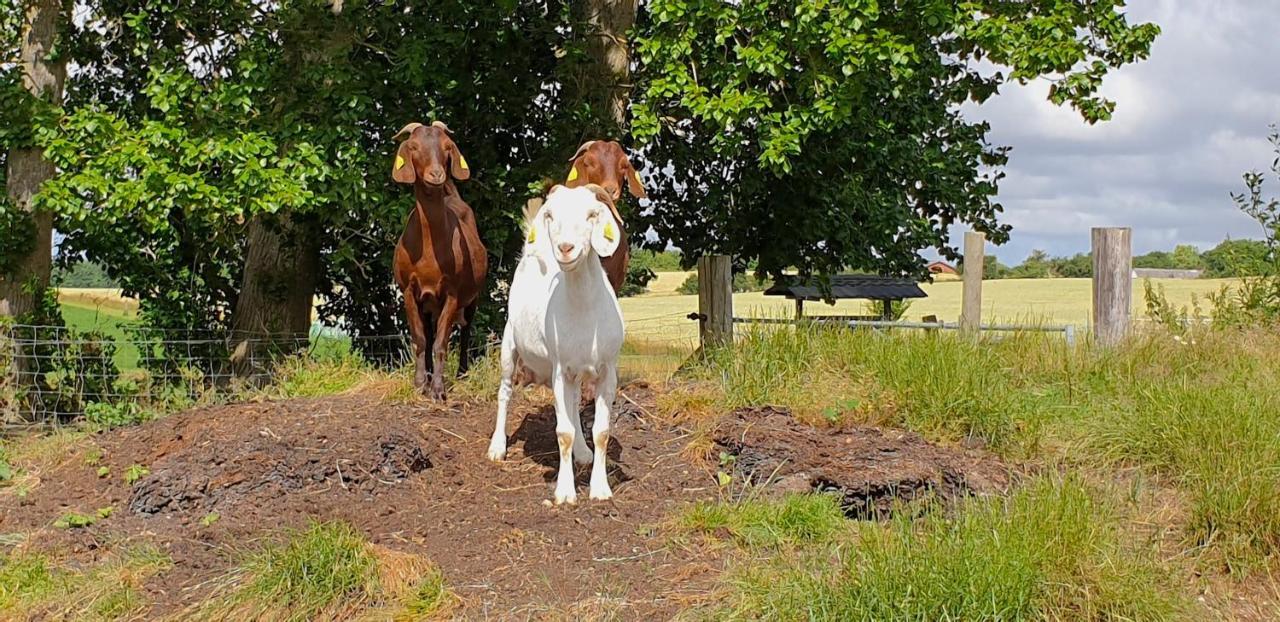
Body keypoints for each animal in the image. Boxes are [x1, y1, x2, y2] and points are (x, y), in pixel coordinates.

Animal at [389, 121, 483, 401]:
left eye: (447, 147)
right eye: (413, 147)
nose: (436, 175)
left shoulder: (452, 292)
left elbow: (442, 342)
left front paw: (439, 390)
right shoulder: (409, 291)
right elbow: (421, 339)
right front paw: (420, 384)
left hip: (471, 298)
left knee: (465, 332)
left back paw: (461, 373)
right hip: (428, 303)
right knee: (429, 335)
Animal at [486, 181, 627, 501]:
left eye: (592, 214)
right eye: (550, 215)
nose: (565, 248)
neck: (584, 311)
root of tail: (532, 250)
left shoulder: (606, 371)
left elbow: (601, 431)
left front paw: (600, 489)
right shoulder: (561, 369)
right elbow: (563, 433)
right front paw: (564, 492)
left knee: (573, 405)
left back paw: (583, 453)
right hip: (510, 346)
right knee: (504, 392)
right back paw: (497, 447)